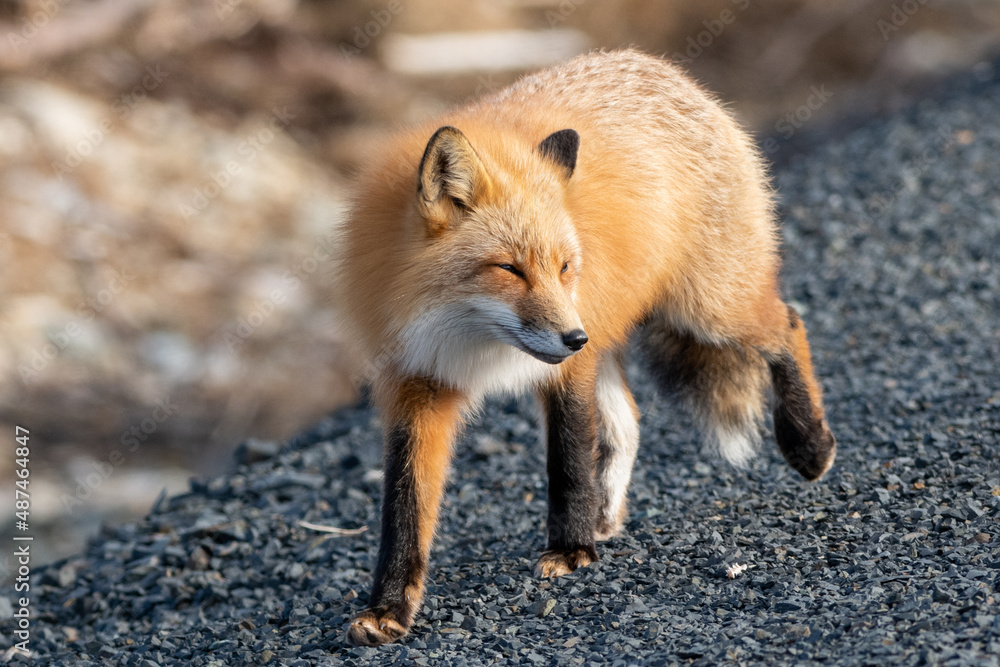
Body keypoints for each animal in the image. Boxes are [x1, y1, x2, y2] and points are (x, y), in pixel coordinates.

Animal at [336, 48, 836, 648]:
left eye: (564, 267)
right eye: (510, 269)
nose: (575, 338)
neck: (463, 335)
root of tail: (659, 68)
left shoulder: (566, 366)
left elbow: (568, 459)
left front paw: (572, 551)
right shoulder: (418, 383)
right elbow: (405, 507)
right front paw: (389, 608)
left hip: (707, 311)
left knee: (789, 323)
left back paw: (809, 444)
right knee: (629, 422)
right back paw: (606, 516)